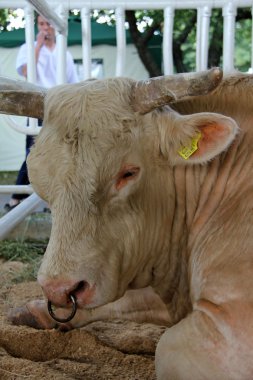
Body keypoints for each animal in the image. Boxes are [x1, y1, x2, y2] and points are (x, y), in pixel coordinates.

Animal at [0, 69, 253, 380]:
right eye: (38, 178)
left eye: (128, 173)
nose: (59, 289)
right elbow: (129, 298)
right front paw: (34, 312)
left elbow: (165, 345)